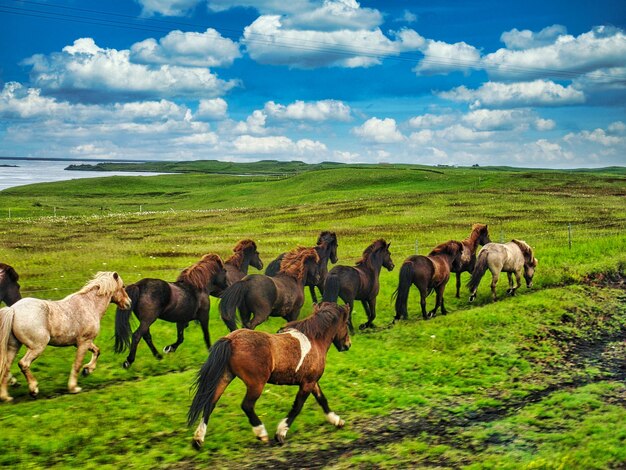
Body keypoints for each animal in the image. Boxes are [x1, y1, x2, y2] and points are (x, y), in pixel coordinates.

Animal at [0, 272, 130, 400]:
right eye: (123, 286)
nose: (129, 303)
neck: (90, 305)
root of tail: (13, 309)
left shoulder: (84, 342)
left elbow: (97, 351)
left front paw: (87, 370)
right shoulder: (84, 342)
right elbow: (77, 364)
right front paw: (74, 388)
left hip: (13, 346)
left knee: (6, 367)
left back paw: (6, 396)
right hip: (37, 347)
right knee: (23, 364)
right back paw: (33, 389)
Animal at [185, 302, 352, 448]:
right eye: (346, 323)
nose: (348, 345)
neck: (314, 339)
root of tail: (230, 340)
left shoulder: (312, 381)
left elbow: (322, 399)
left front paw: (337, 421)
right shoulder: (307, 383)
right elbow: (297, 407)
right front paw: (280, 434)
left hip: (225, 377)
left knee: (210, 403)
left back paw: (198, 439)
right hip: (256, 384)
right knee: (246, 405)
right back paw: (262, 434)